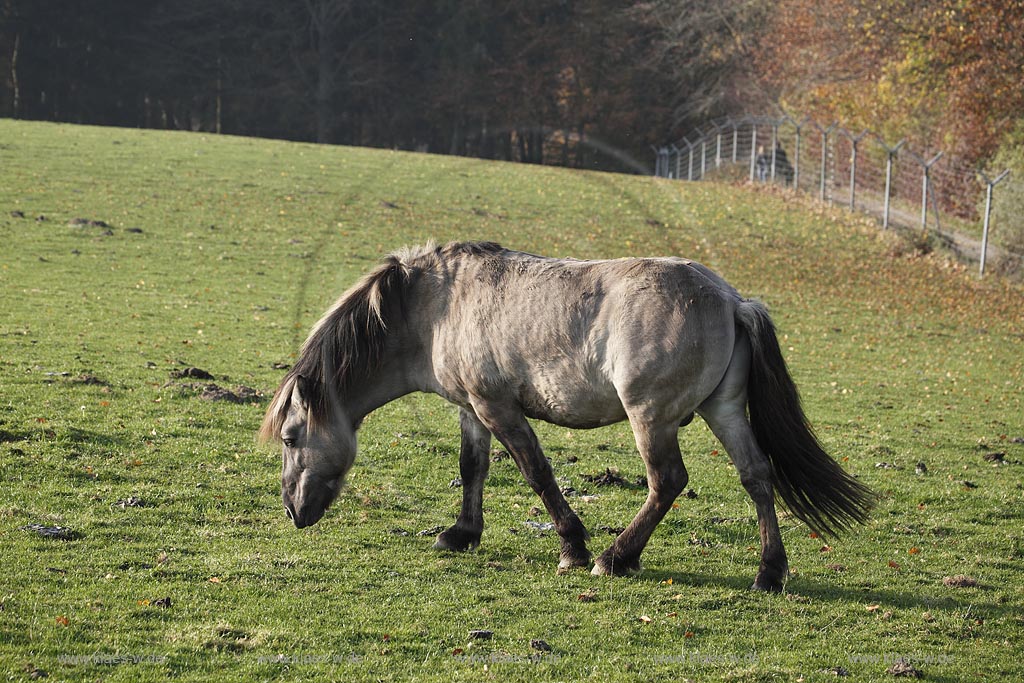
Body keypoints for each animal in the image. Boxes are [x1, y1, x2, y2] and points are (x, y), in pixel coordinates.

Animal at [258, 242, 872, 589]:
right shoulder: (472, 410)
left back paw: (616, 557)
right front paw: (461, 534)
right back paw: (769, 572)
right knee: (757, 476)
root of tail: (731, 300)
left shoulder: (497, 408)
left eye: (291, 437)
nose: (293, 511)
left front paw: (573, 548)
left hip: (651, 417)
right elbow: (472, 468)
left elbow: (536, 473)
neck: (433, 306)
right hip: (722, 411)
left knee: (667, 481)